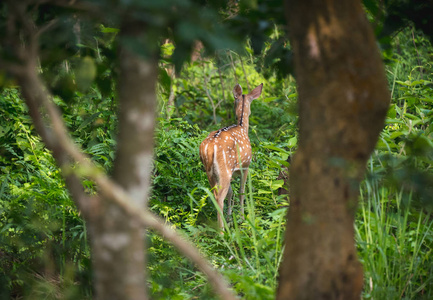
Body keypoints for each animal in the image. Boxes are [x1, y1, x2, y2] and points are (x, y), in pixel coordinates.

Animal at [200, 83, 264, 229]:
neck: (242, 126)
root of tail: (210, 147)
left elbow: (231, 192)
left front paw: (230, 217)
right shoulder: (246, 166)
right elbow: (241, 190)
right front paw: (242, 217)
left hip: (211, 172)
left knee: (214, 194)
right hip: (225, 169)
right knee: (219, 196)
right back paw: (222, 230)